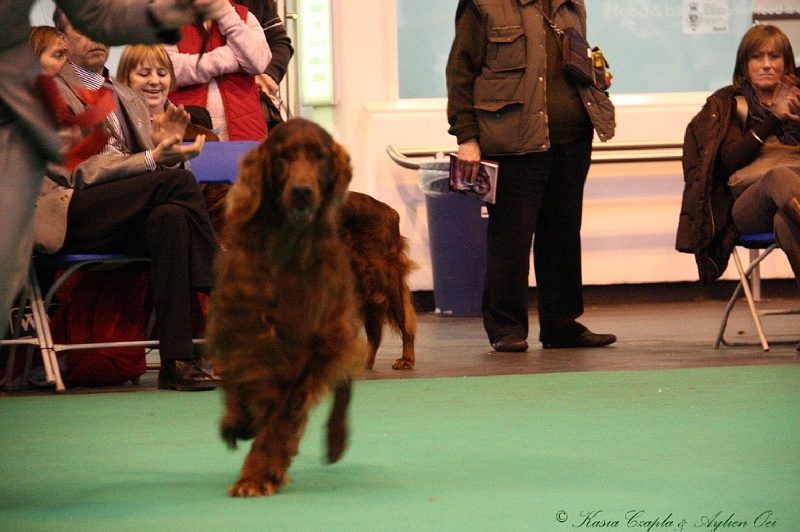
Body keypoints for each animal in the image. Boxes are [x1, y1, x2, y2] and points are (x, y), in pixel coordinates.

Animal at [206, 118, 416, 496]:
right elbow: (235, 380)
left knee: (401, 324)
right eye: (281, 156)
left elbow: (279, 421)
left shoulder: (304, 348)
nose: (302, 191)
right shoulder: (235, 319)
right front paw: (237, 423)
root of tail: (389, 209)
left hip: (379, 280)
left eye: (320, 156)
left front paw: (257, 475)